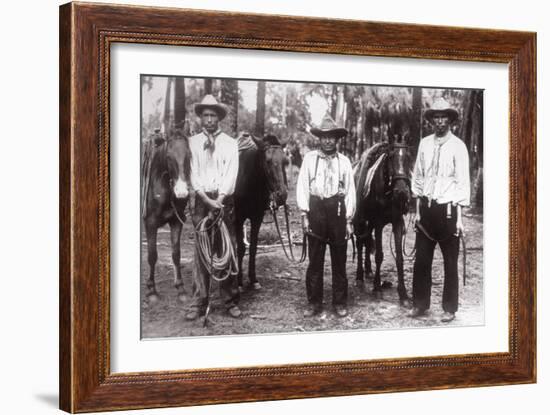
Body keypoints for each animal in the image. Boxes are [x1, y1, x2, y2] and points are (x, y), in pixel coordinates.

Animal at [143, 132, 193, 304]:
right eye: (169, 157)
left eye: (189, 155)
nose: (182, 192)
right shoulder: (150, 224)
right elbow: (152, 255)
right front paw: (151, 291)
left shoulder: (176, 222)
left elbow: (176, 254)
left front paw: (181, 288)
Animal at [235, 135, 292, 290]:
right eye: (267, 161)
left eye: (285, 161)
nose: (282, 195)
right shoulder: (238, 218)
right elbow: (241, 248)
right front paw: (239, 282)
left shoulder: (257, 218)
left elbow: (253, 248)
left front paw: (253, 280)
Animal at [354, 142, 414, 306]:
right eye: (391, 157)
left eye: (409, 158)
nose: (401, 192)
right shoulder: (379, 223)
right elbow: (379, 255)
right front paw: (377, 288)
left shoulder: (397, 222)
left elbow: (399, 258)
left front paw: (403, 294)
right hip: (362, 221)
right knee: (360, 243)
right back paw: (360, 277)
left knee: (367, 241)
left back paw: (368, 270)